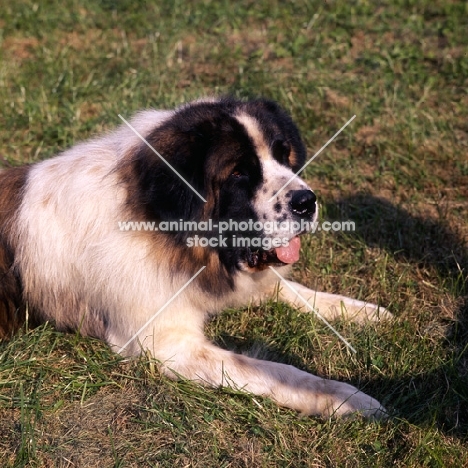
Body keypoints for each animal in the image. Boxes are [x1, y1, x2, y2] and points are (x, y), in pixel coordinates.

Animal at [0, 97, 388, 418]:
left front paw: (360, 311)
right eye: (238, 172)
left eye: (283, 155)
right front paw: (346, 398)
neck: (159, 223)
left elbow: (288, 288)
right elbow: (277, 370)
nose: (306, 202)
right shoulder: (168, 343)